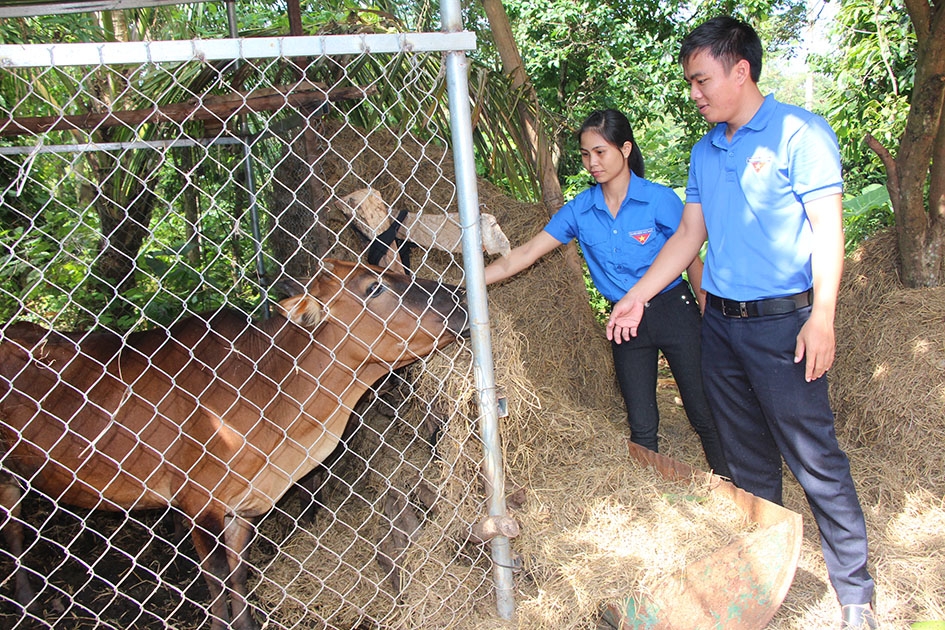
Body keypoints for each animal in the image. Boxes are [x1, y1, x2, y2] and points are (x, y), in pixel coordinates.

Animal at [0, 260, 468, 630]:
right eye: (373, 286)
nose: (462, 295)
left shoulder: (241, 504)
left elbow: (240, 574)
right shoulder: (196, 501)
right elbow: (215, 576)